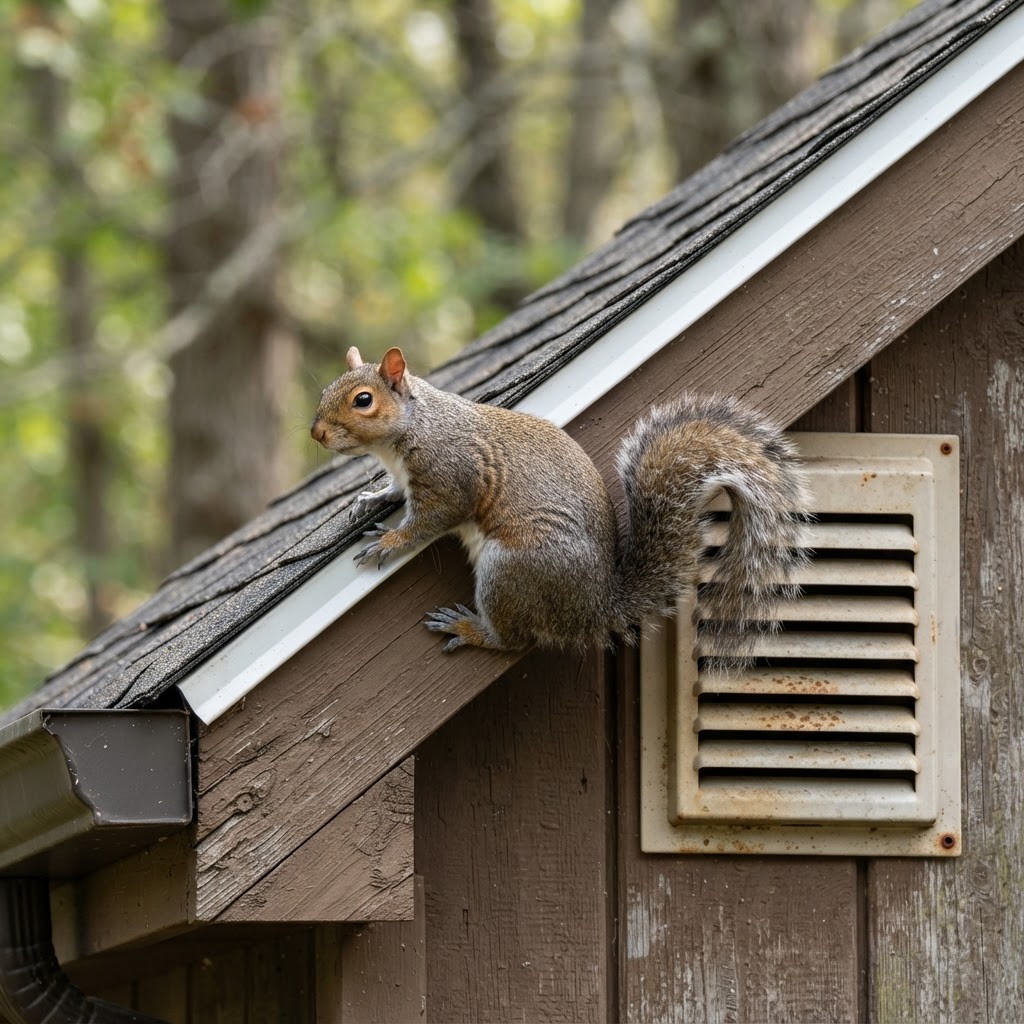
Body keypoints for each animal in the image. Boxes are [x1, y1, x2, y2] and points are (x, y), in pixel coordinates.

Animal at [311, 346, 807, 656]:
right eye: (325, 390)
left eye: (362, 400)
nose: (316, 433)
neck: (410, 430)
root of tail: (594, 606)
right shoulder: (407, 477)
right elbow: (395, 492)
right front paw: (370, 497)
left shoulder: (452, 475)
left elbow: (433, 519)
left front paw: (391, 542)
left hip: (513, 570)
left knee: (515, 639)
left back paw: (470, 629)